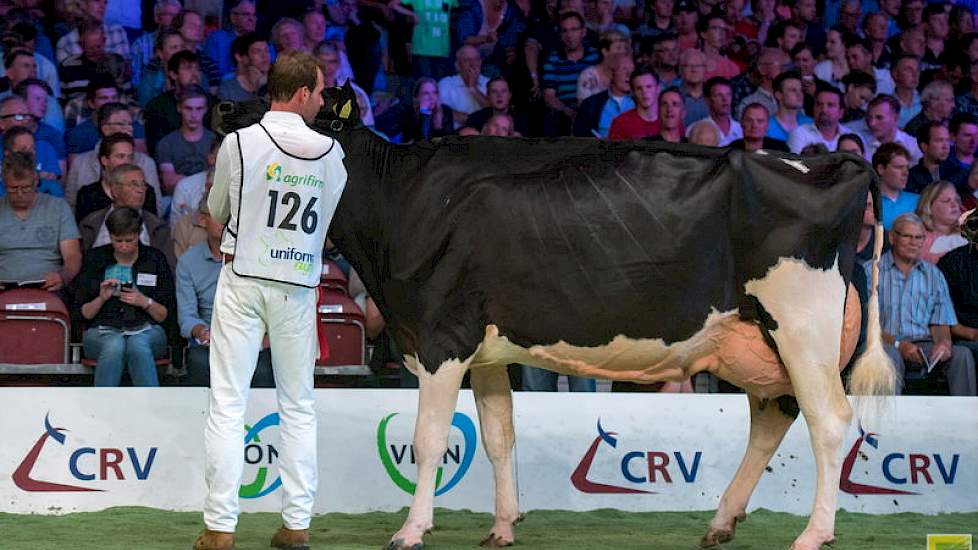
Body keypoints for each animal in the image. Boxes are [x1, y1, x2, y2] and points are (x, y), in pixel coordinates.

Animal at [219, 84, 892, 550]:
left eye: (284, 107)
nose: (223, 103)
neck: (401, 199)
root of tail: (835, 162)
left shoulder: (441, 338)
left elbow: (431, 438)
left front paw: (411, 530)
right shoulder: (486, 350)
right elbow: (498, 436)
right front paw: (502, 527)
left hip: (801, 324)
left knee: (829, 421)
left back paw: (813, 534)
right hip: (754, 340)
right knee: (773, 416)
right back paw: (722, 522)